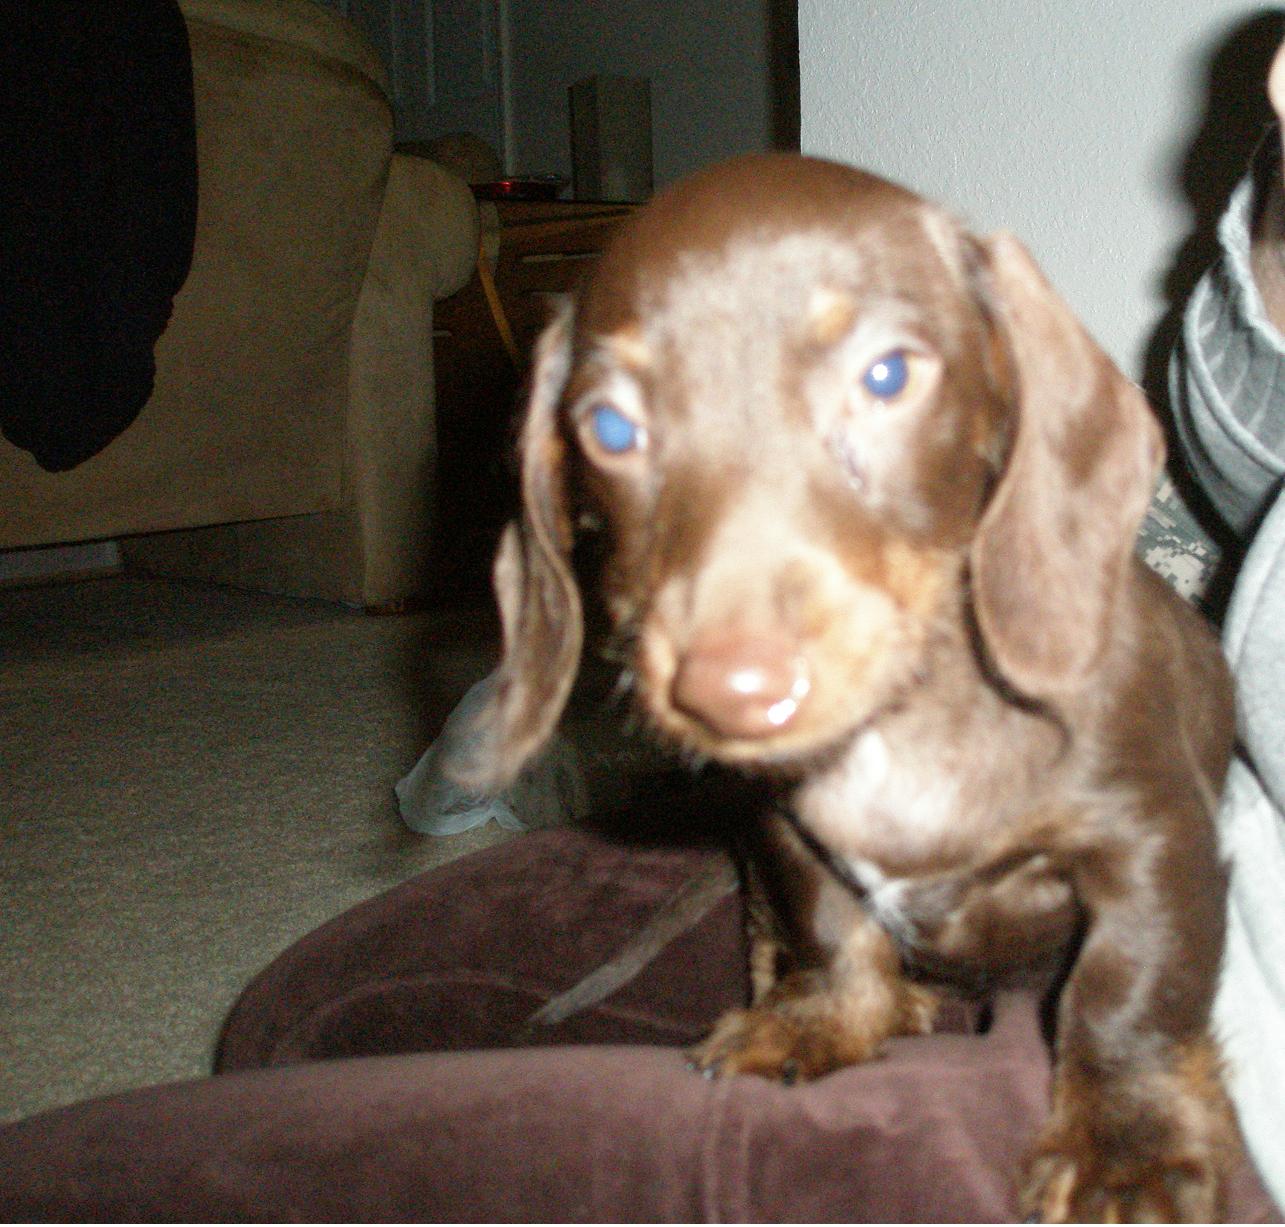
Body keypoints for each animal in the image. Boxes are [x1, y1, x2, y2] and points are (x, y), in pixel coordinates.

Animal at [445, 153, 1241, 1222]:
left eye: (887, 375)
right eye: (609, 427)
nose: (733, 691)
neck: (905, 719)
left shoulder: (1149, 841)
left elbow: (1127, 993)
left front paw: (1127, 1143)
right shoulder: (784, 832)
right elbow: (828, 928)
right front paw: (827, 1017)